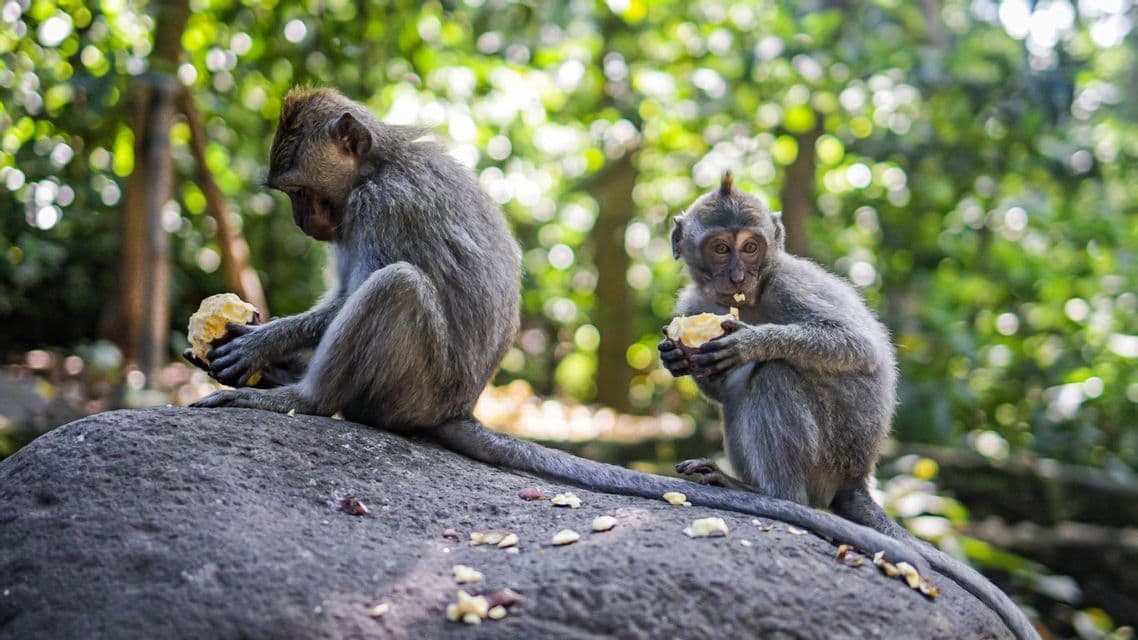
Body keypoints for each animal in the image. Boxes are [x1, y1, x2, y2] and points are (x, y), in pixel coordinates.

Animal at [190, 86, 940, 605]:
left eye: (299, 189)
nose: (303, 220)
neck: (378, 161)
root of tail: (456, 406)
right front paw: (252, 341)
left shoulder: (381, 204)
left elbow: (358, 291)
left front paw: (259, 347)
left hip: (415, 384)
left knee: (395, 286)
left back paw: (303, 399)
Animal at [657, 173, 1037, 640]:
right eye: (720, 248)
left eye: (750, 247)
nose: (737, 275)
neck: (752, 297)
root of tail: (858, 477)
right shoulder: (691, 304)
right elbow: (718, 388)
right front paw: (675, 357)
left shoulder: (790, 282)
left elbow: (856, 345)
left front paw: (751, 342)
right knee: (739, 398)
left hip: (830, 458)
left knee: (775, 375)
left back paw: (770, 494)